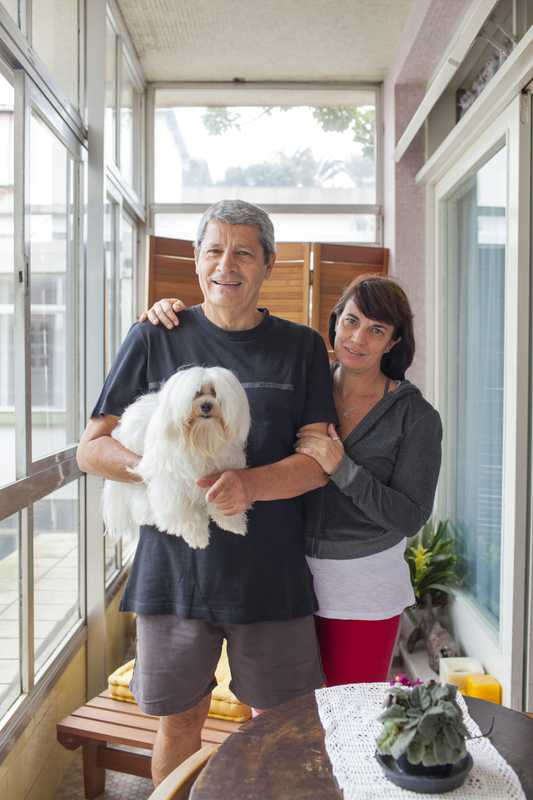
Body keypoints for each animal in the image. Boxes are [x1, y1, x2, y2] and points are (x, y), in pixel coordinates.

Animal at [105, 364, 252, 548]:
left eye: (214, 393)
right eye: (196, 394)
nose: (206, 405)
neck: (202, 440)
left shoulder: (223, 473)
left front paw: (234, 523)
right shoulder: (172, 485)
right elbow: (185, 512)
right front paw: (197, 537)